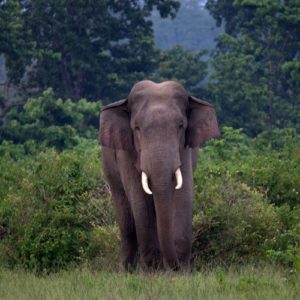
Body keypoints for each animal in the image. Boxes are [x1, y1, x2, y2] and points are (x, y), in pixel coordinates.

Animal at [99, 79, 219, 272]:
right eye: (137, 128)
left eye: (180, 126)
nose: (175, 266)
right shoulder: (127, 152)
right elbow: (140, 199)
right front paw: (153, 271)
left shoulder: (184, 150)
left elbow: (183, 194)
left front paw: (181, 272)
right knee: (127, 223)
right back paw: (125, 271)